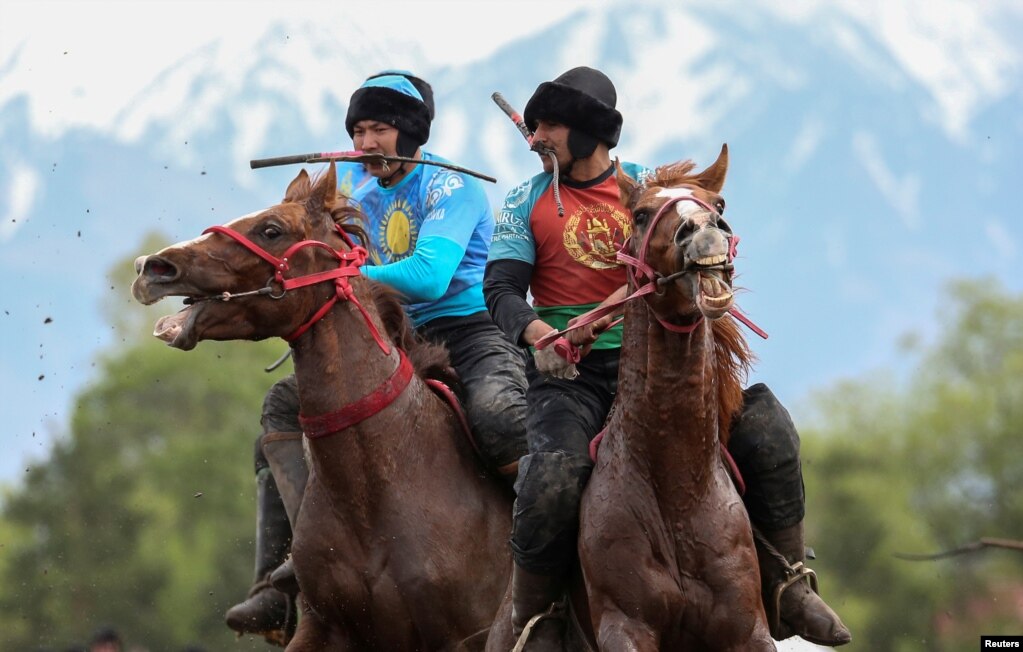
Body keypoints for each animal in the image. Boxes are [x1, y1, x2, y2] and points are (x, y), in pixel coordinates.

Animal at [576, 145, 773, 646]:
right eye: (641, 214)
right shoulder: (625, 622)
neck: (678, 491)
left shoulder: (747, 628)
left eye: (718, 204)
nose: (704, 230)